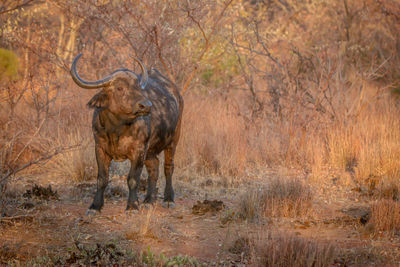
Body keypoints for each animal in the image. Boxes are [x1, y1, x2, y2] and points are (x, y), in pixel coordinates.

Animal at [71, 53, 184, 215]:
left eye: (138, 87)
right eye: (120, 88)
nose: (146, 106)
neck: (116, 129)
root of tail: (177, 94)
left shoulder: (139, 150)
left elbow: (132, 179)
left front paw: (132, 206)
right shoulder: (100, 148)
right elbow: (102, 178)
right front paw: (95, 206)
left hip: (173, 140)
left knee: (168, 168)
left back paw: (168, 199)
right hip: (150, 150)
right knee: (154, 168)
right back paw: (149, 201)